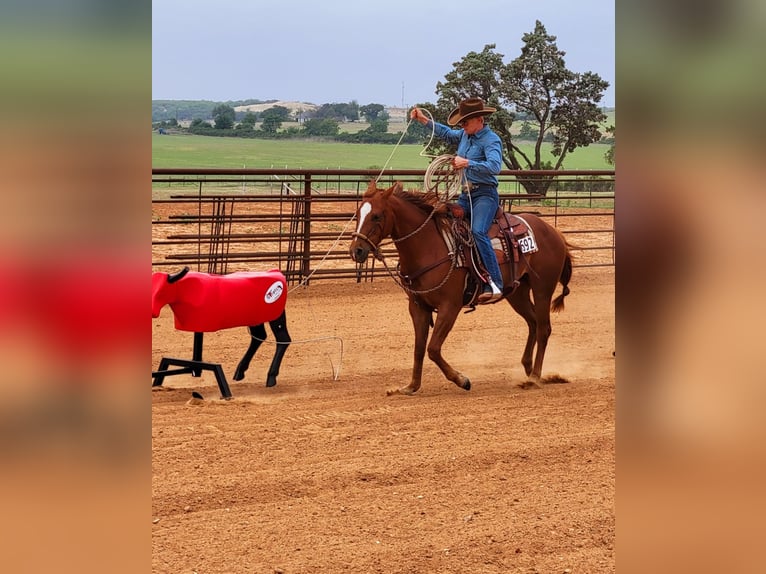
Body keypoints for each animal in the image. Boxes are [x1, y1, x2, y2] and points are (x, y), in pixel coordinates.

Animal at [352, 181, 572, 396]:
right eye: (358, 214)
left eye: (376, 216)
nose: (356, 250)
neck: (429, 246)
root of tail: (554, 232)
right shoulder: (418, 306)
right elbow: (419, 348)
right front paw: (411, 386)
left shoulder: (450, 306)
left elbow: (433, 348)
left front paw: (462, 380)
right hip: (517, 293)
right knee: (533, 322)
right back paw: (529, 368)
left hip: (543, 288)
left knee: (544, 328)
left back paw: (534, 377)